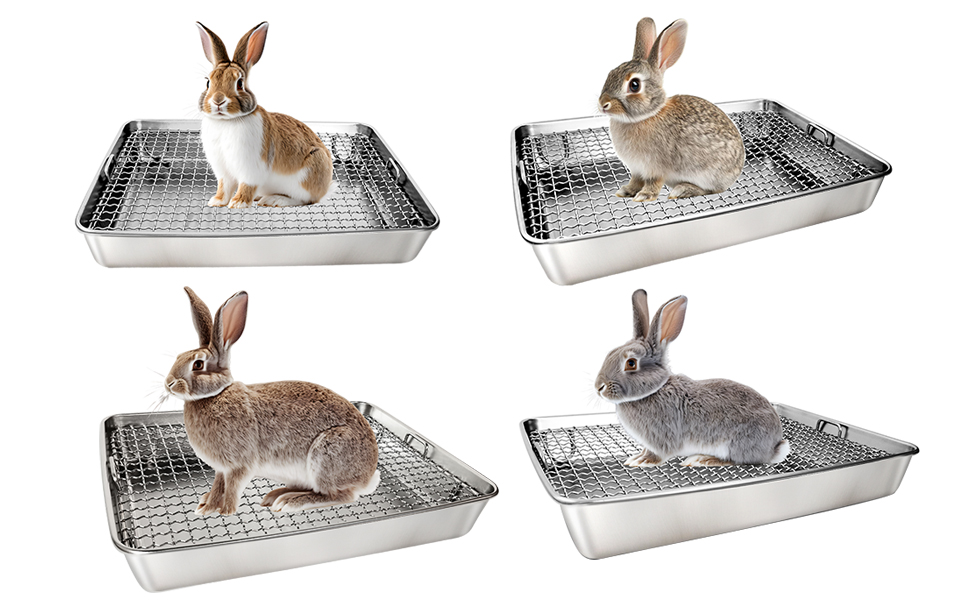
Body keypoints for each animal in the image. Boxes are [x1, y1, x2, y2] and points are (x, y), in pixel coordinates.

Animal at [164, 287, 380, 515]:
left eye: (197, 364)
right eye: (178, 356)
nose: (168, 383)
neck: (215, 395)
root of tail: (368, 476)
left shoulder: (240, 465)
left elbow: (232, 488)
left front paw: (225, 511)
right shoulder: (222, 469)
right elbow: (218, 485)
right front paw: (207, 505)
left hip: (327, 454)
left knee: (339, 495)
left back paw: (289, 502)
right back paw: (276, 495)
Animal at [195, 22, 334, 208]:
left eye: (239, 83)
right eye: (208, 82)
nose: (218, 101)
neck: (227, 121)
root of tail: (325, 188)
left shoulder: (251, 169)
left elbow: (246, 185)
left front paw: (238, 203)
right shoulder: (223, 171)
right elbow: (224, 186)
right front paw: (216, 201)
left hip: (308, 173)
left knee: (305, 199)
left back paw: (274, 200)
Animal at [595, 290, 790, 467]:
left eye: (631, 363)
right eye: (610, 353)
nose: (599, 387)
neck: (655, 390)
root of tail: (773, 448)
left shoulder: (662, 438)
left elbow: (657, 454)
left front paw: (642, 461)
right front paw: (637, 456)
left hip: (736, 443)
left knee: (735, 460)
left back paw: (702, 459)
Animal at [598, 18, 745, 202]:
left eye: (634, 85)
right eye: (610, 73)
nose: (603, 104)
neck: (647, 116)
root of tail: (738, 167)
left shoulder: (656, 168)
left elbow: (653, 183)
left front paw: (644, 196)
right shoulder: (637, 169)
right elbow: (635, 181)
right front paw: (626, 191)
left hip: (709, 174)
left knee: (712, 190)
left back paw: (682, 190)